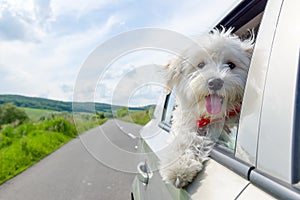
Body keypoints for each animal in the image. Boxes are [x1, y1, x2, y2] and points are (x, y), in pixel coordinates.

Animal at [159, 28, 253, 188]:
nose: (215, 82)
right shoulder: (187, 122)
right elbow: (183, 139)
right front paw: (178, 166)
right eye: (201, 65)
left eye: (231, 65)